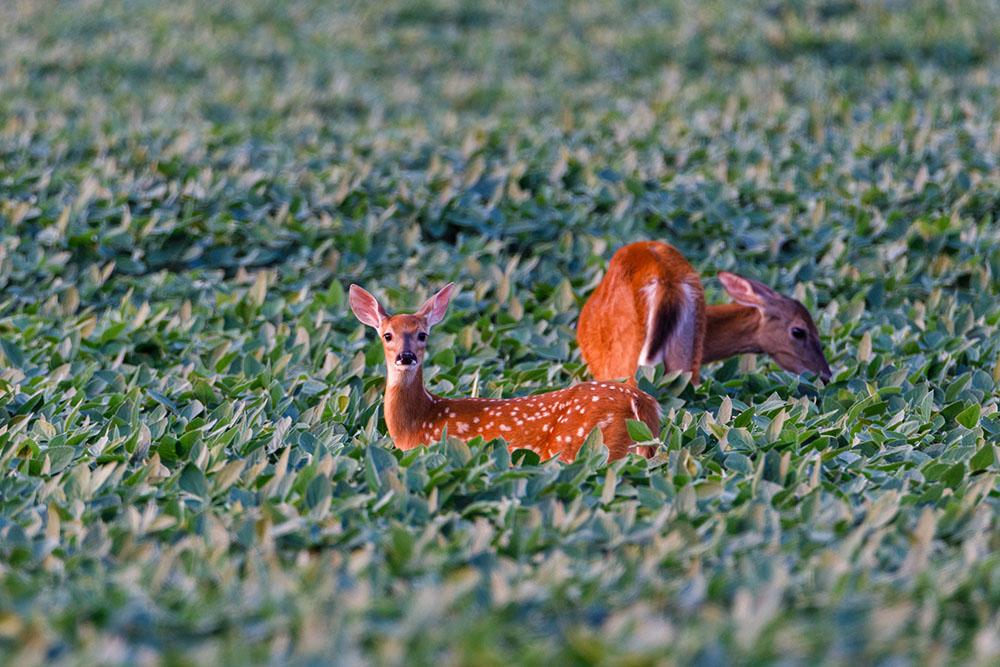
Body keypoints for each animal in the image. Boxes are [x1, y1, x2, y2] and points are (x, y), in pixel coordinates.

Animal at [349, 282, 662, 462]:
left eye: (423, 334)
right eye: (387, 335)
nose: (406, 356)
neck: (419, 422)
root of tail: (641, 401)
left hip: (584, 446)